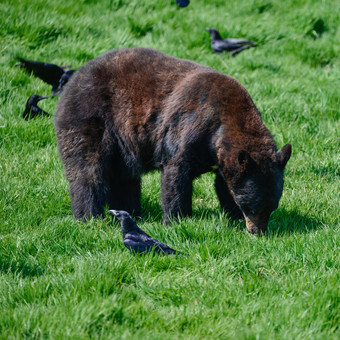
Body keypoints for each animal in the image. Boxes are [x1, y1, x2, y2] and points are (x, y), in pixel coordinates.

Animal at [54, 47, 290, 234]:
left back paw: (130, 212)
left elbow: (224, 184)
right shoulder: (188, 128)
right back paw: (89, 217)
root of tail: (74, 79)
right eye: (252, 206)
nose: (257, 231)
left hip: (123, 144)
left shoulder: (223, 159)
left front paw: (234, 217)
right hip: (91, 118)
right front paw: (177, 219)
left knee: (124, 178)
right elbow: (176, 175)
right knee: (89, 170)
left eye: (272, 206)